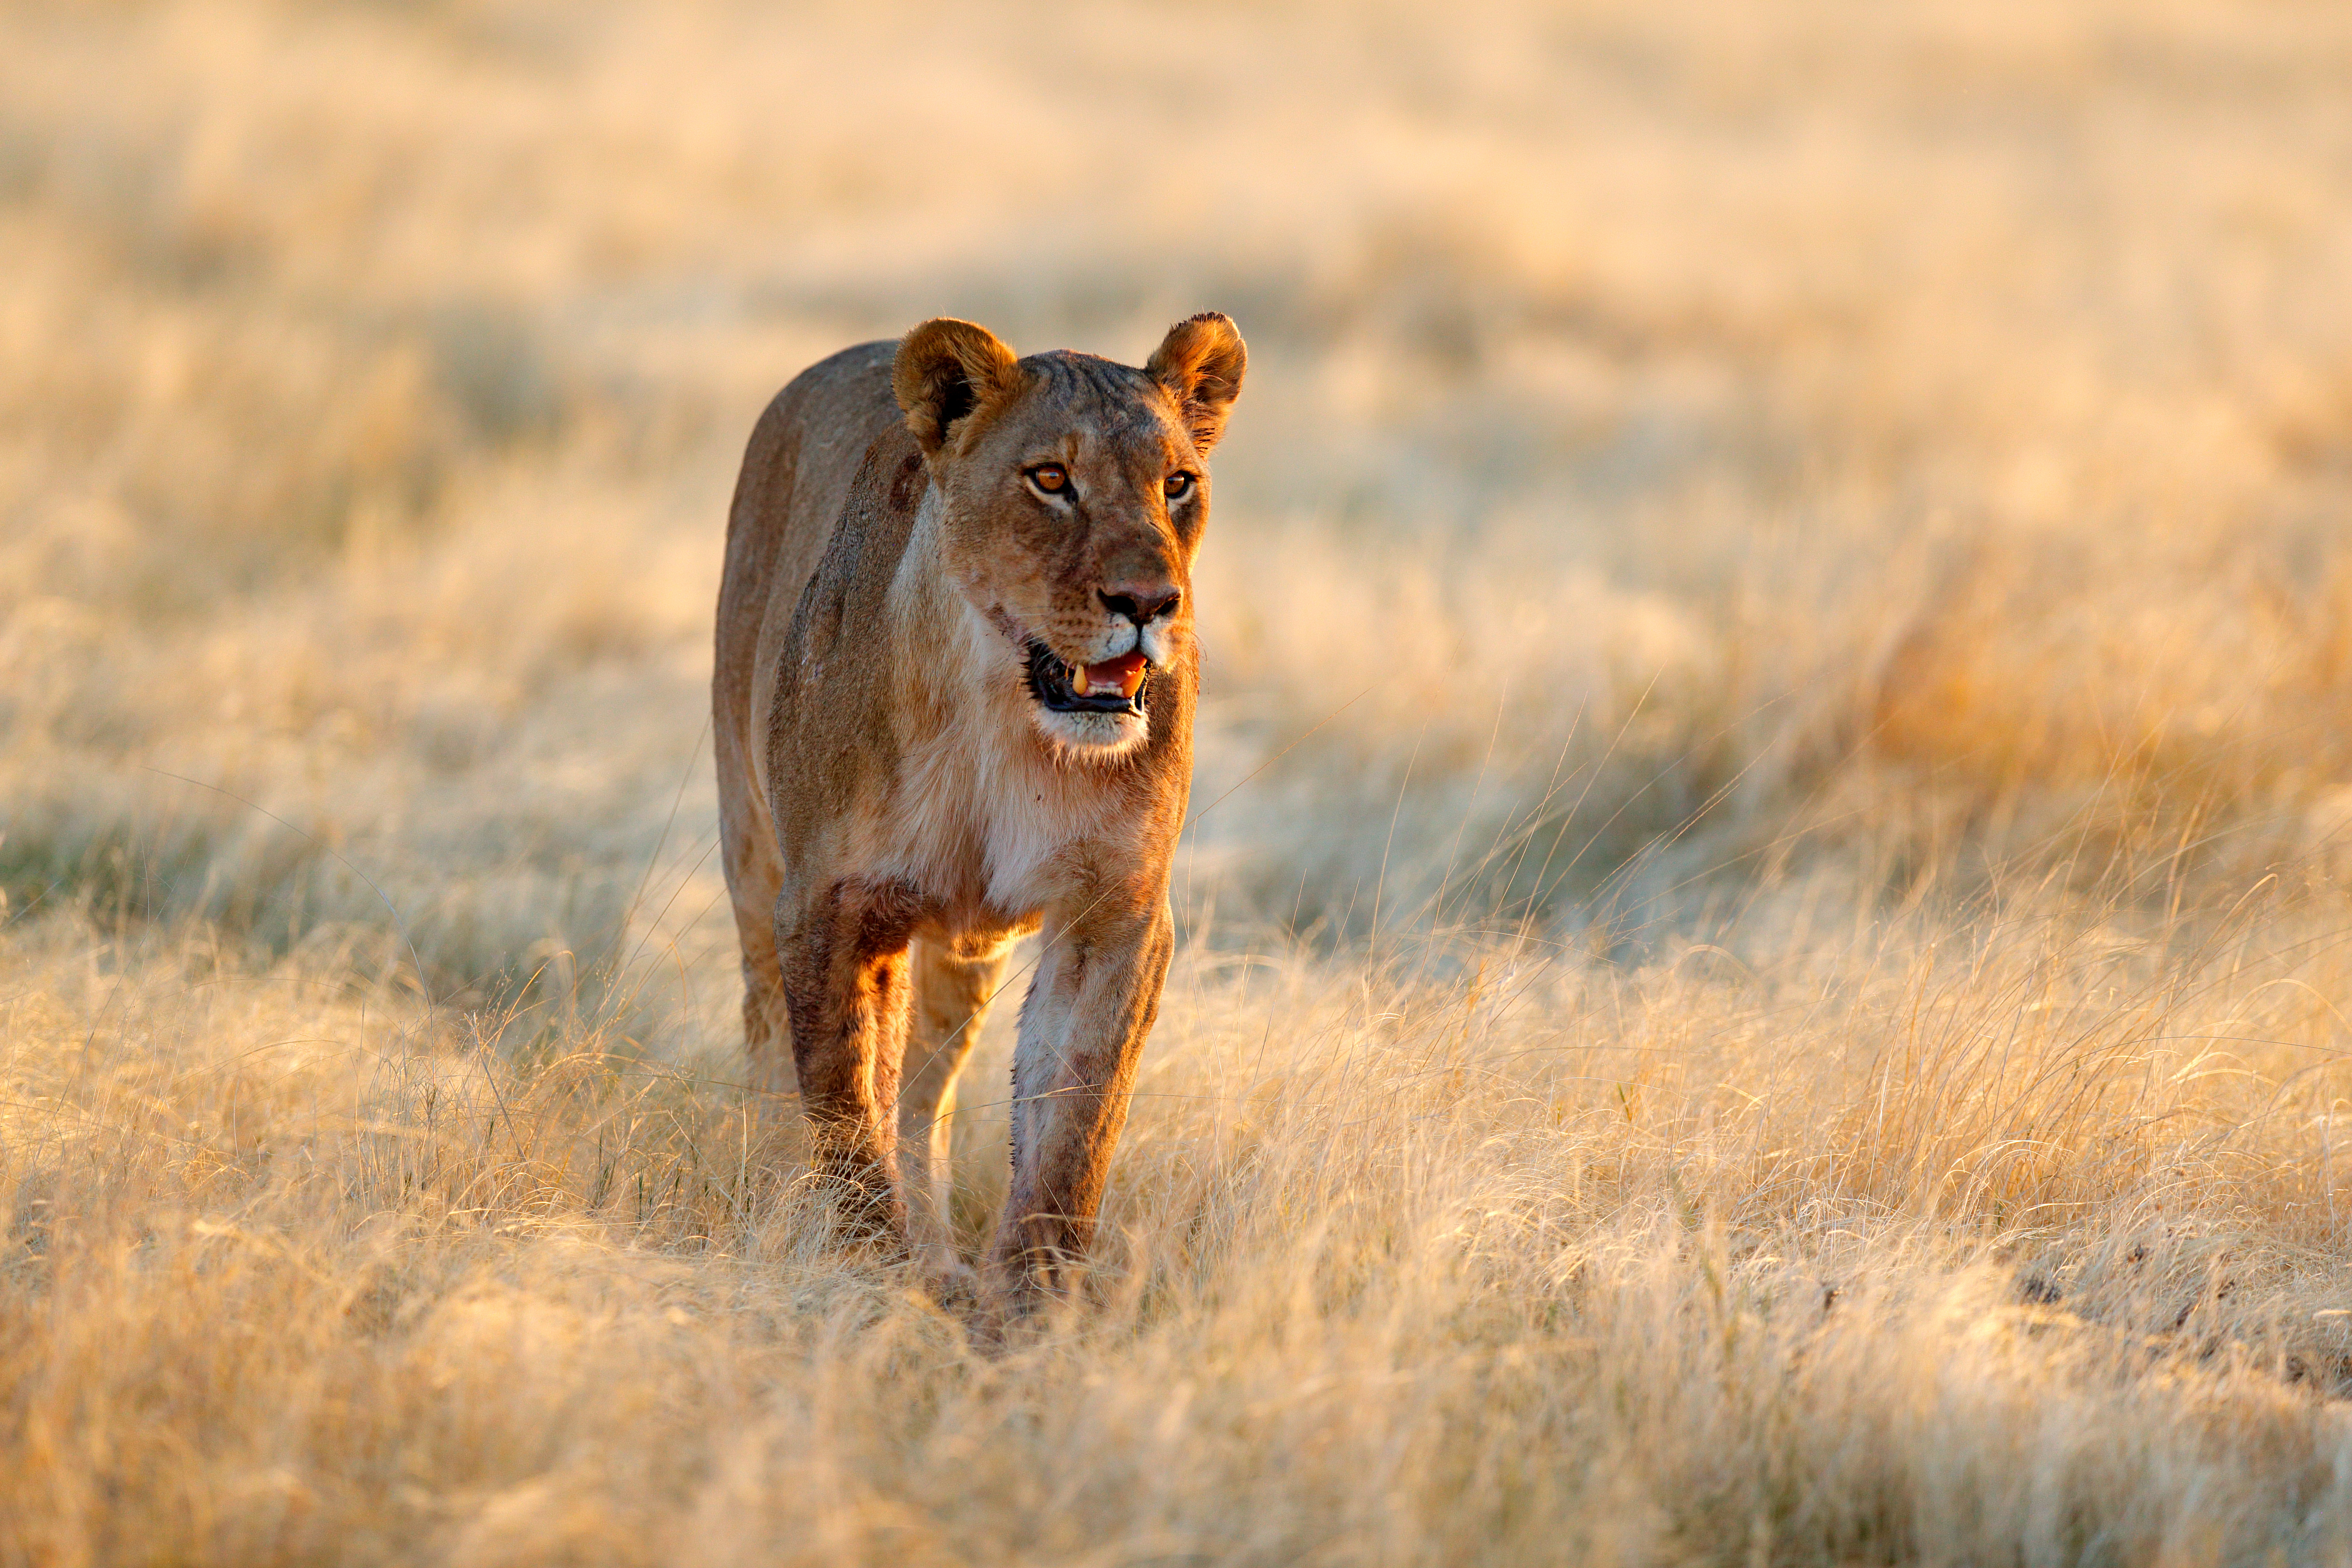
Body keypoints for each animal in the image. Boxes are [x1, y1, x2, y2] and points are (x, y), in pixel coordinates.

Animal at [711, 312, 1245, 1318]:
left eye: (1177, 483)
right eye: (1051, 480)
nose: (1150, 603)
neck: (1002, 715)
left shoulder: (1113, 912)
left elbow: (1073, 1123)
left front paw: (1032, 1307)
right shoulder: (833, 903)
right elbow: (846, 1109)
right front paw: (871, 1280)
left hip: (965, 955)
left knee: (927, 1098)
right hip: (752, 852)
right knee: (769, 1043)